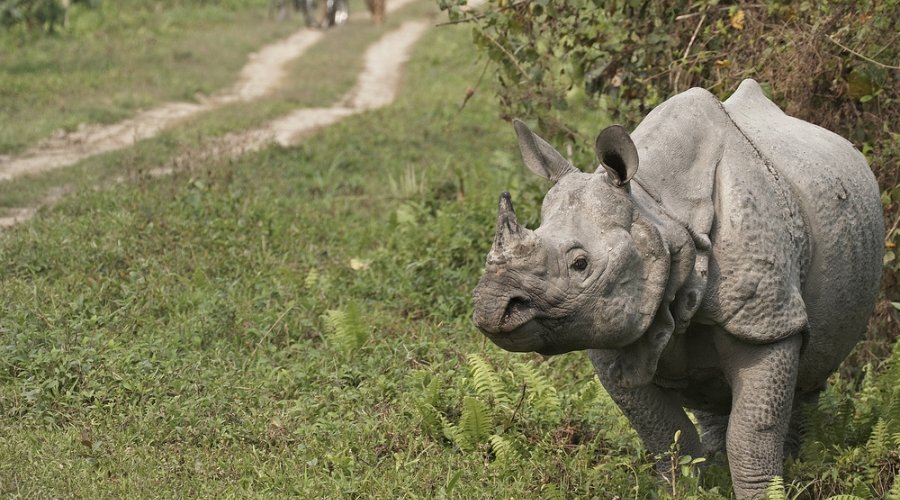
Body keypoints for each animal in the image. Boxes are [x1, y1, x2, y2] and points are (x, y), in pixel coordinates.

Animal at [472, 79, 883, 498]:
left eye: (580, 264)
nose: (492, 307)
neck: (659, 213)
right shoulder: (612, 329)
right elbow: (663, 432)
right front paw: (682, 488)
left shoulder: (768, 322)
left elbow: (752, 435)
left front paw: (762, 491)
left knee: (810, 370)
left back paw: (797, 461)